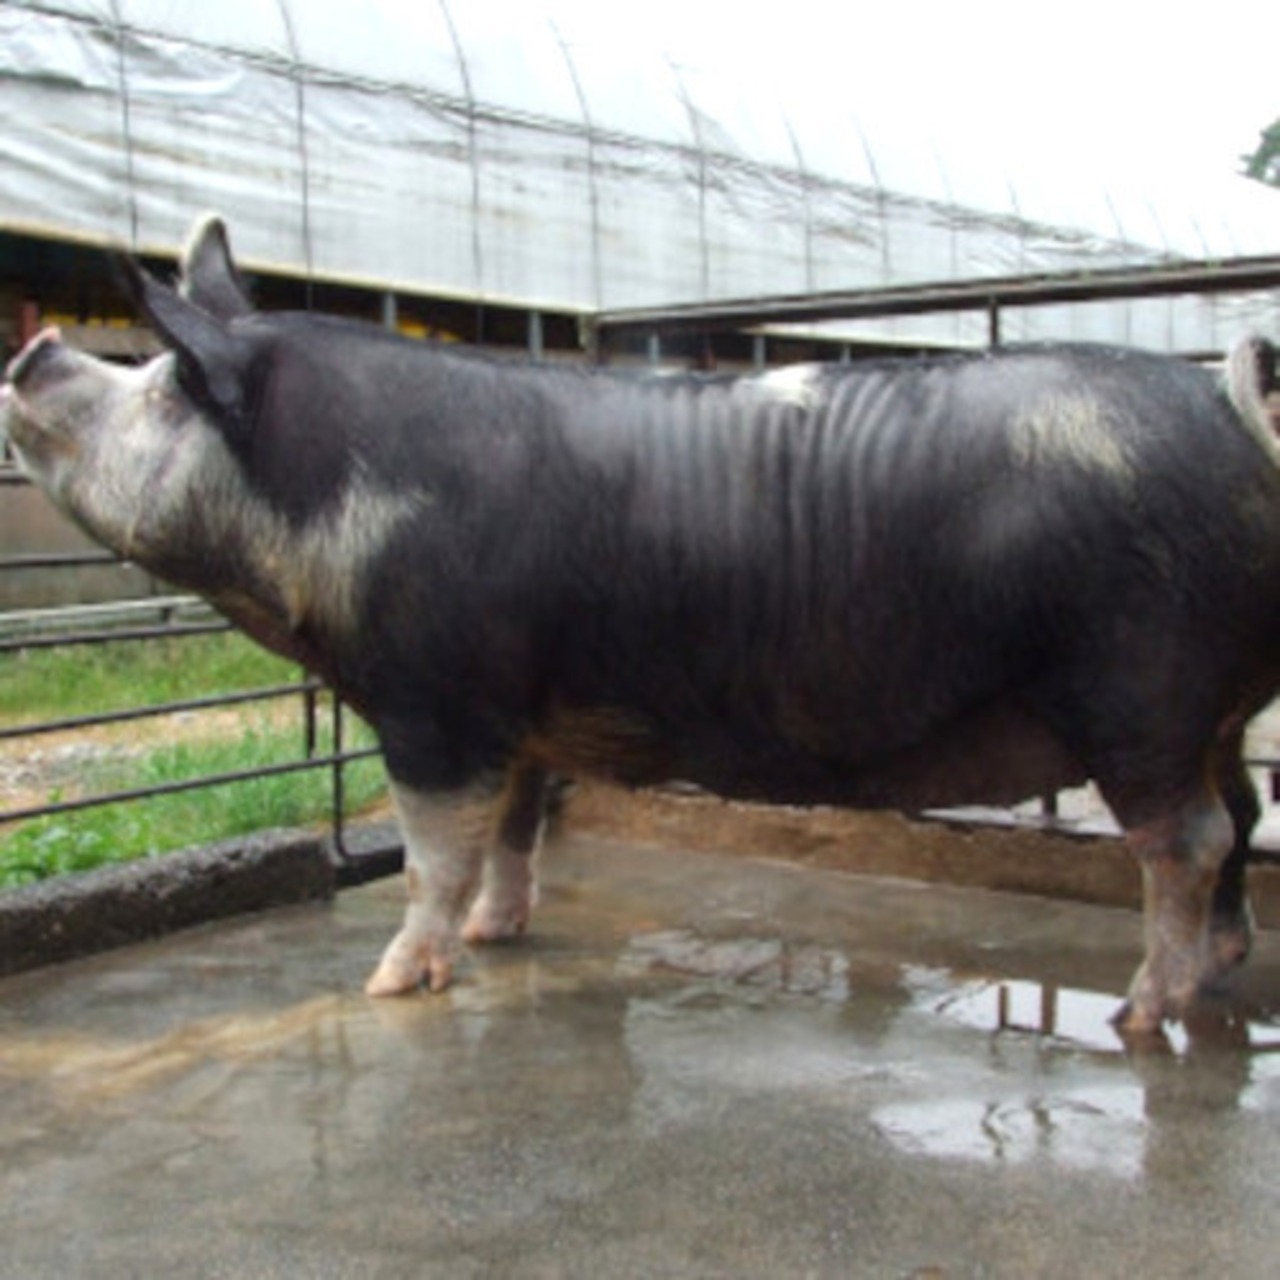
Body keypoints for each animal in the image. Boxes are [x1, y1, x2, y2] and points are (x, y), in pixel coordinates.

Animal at [3, 214, 1278, 1035]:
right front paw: (497, 940)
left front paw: (390, 982)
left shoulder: (433, 698)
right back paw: (1217, 969)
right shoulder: (521, 714)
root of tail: (1226, 405)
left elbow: (430, 856)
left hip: (1138, 687)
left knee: (1190, 837)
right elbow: (514, 833)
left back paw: (1140, 1014)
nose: (38, 346)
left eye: (166, 386)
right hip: (1206, 703)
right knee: (1242, 813)